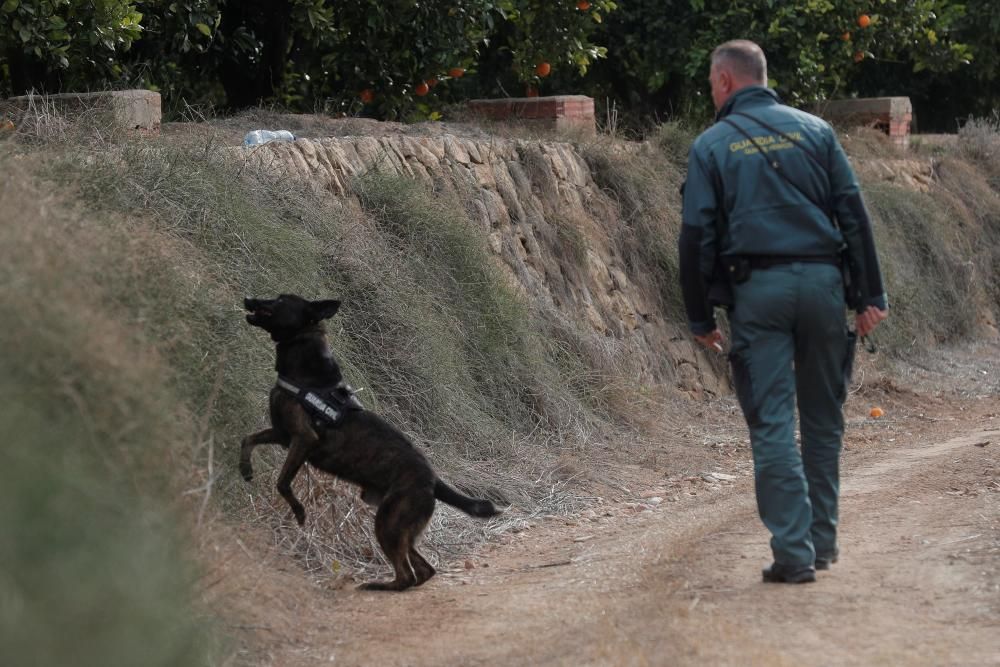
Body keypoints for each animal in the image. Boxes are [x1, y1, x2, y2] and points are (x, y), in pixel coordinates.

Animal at [235, 292, 500, 588]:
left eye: (281, 300)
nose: (248, 298)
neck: (306, 372)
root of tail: (433, 480)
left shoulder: (303, 439)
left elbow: (282, 482)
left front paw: (300, 512)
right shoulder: (282, 434)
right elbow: (247, 439)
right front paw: (245, 469)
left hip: (389, 522)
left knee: (407, 574)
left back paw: (379, 586)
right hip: (398, 526)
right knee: (423, 570)